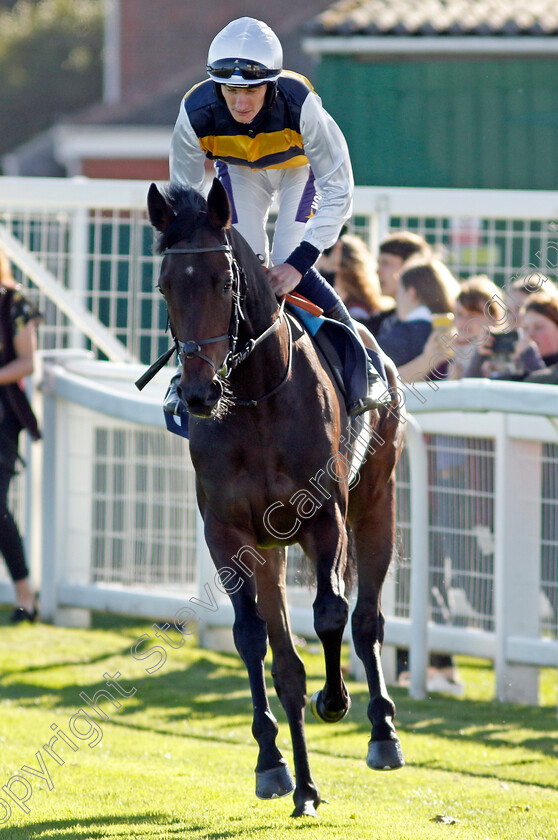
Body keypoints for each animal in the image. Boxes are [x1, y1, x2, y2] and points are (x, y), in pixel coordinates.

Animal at [147, 177, 404, 812]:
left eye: (225, 280)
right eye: (165, 285)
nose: (197, 393)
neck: (257, 397)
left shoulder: (325, 517)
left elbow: (333, 612)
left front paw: (335, 700)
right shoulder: (229, 533)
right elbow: (252, 639)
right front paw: (271, 762)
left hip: (377, 501)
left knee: (368, 616)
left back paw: (382, 731)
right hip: (270, 549)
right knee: (286, 658)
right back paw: (304, 785)